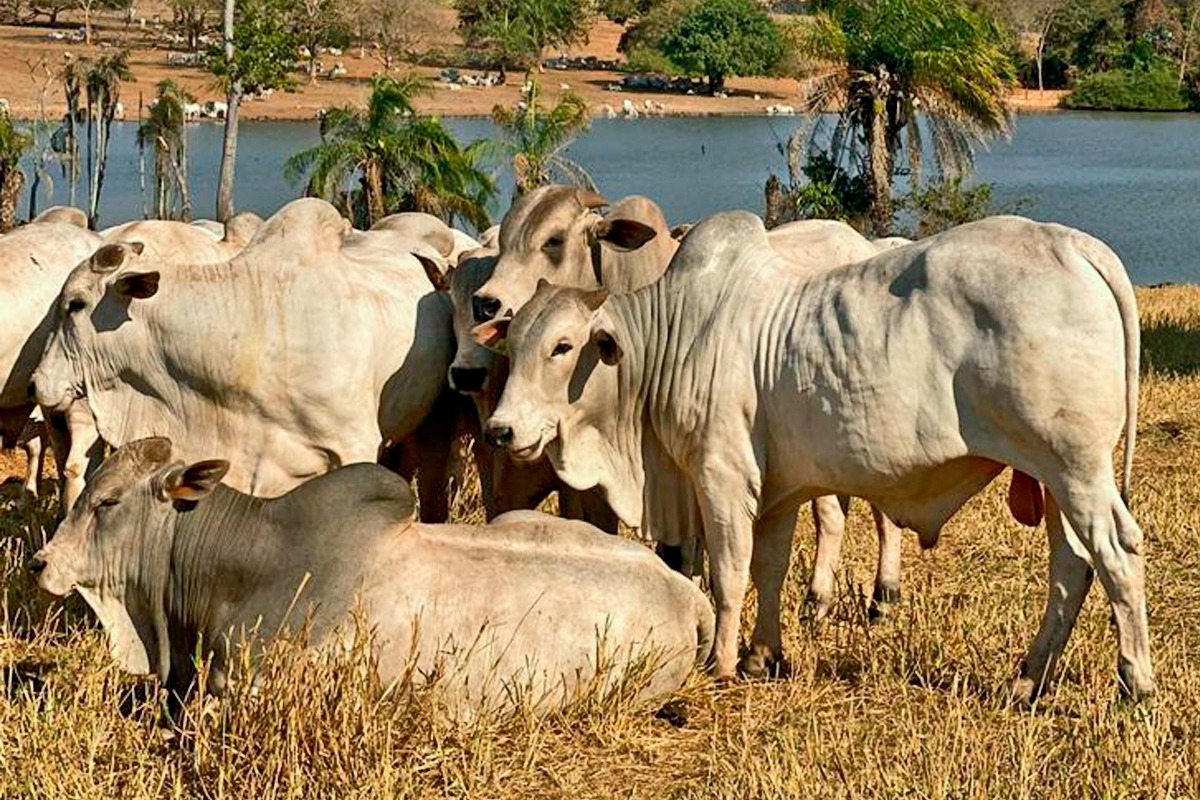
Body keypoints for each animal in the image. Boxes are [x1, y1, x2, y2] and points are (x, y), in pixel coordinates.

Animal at [480, 214, 1152, 705]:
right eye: (512, 344)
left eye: (562, 346)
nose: (500, 429)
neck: (674, 336)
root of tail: (1074, 244)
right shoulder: (775, 491)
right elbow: (769, 569)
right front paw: (763, 655)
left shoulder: (720, 477)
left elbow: (729, 574)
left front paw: (720, 662)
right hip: (1053, 475)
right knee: (1072, 567)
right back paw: (1026, 680)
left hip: (1076, 468)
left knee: (1117, 553)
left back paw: (1134, 684)